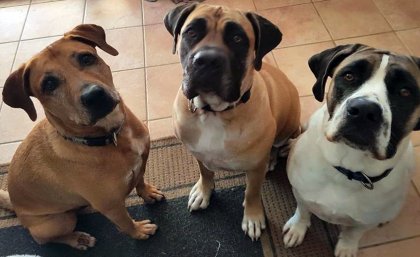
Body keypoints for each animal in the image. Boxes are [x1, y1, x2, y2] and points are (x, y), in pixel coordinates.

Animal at [0, 25, 164, 249]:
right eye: (49, 84)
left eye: (86, 58)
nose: (94, 95)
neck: (111, 137)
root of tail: (16, 207)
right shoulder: (111, 206)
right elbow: (126, 222)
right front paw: (139, 231)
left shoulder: (142, 162)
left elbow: (139, 180)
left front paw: (148, 193)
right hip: (59, 221)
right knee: (43, 239)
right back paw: (78, 239)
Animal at [165, 3, 302, 239]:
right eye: (191, 32)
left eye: (238, 38)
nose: (207, 59)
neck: (213, 111)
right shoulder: (198, 153)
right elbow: (206, 172)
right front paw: (203, 191)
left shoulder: (255, 169)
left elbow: (252, 193)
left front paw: (253, 217)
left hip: (289, 127)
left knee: (277, 146)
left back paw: (273, 157)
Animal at [284, 44, 418, 256]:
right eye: (349, 76)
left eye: (405, 91)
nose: (364, 110)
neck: (348, 171)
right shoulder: (300, 192)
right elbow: (303, 212)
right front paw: (297, 229)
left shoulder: (364, 222)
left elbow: (353, 233)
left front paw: (346, 247)